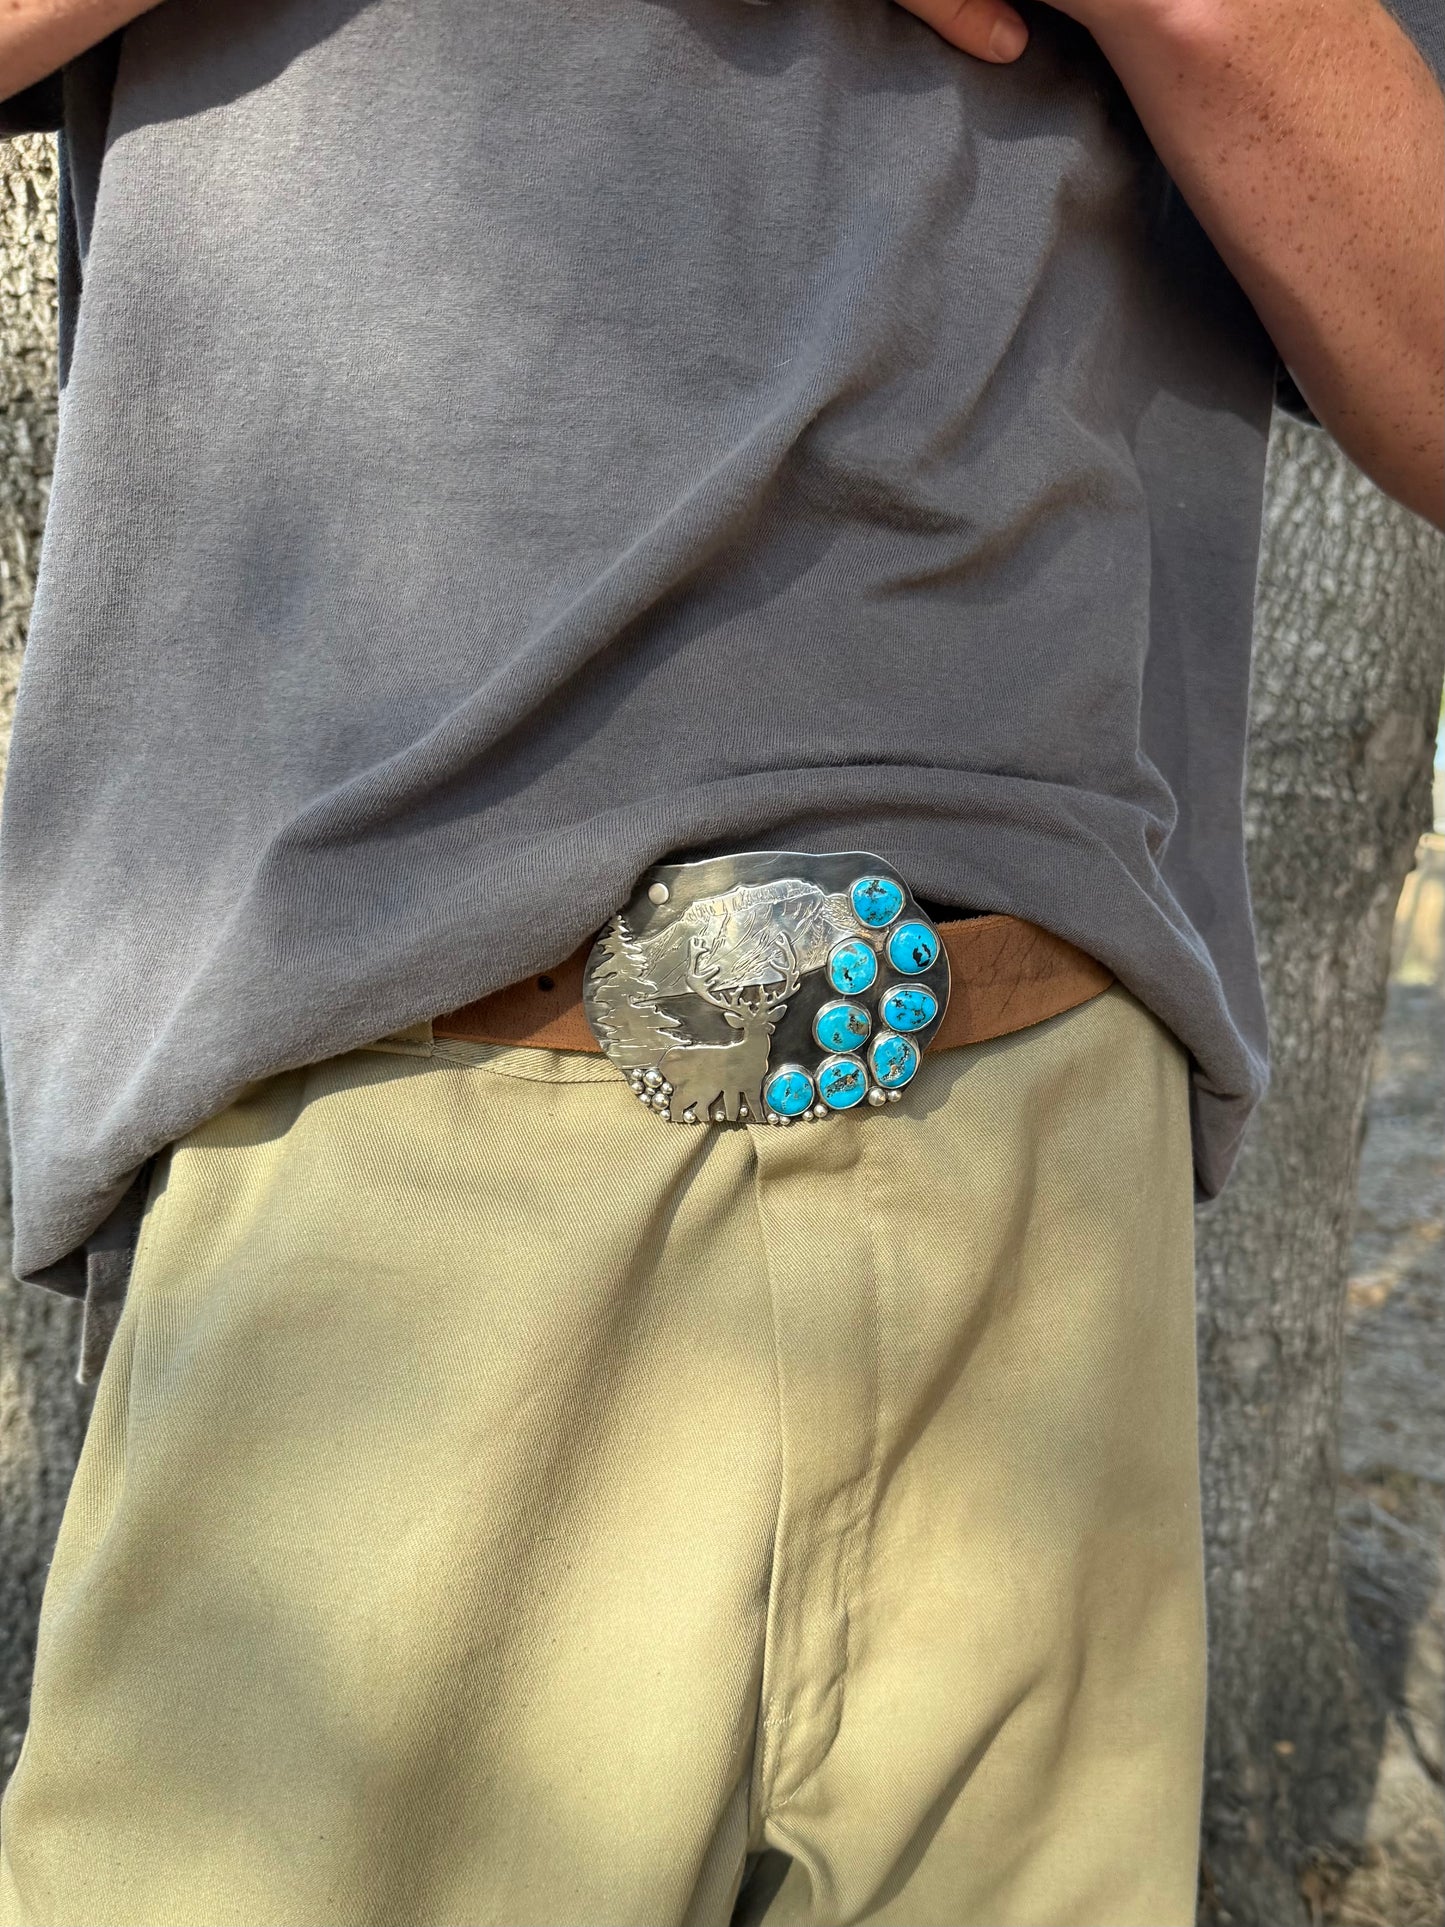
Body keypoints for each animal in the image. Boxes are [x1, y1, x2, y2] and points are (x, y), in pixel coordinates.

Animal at [657, 931, 802, 1124]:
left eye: (766, 1020)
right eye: (748, 1025)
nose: (770, 1030)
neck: (751, 1058)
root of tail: (664, 1062)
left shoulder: (754, 1084)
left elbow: (757, 1110)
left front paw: (760, 1119)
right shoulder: (730, 1085)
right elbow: (733, 1111)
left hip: (706, 1089)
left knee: (697, 1109)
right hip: (698, 1085)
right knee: (678, 1105)